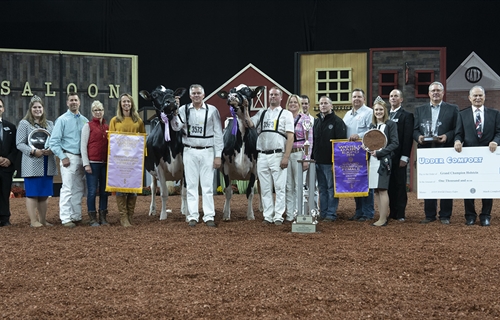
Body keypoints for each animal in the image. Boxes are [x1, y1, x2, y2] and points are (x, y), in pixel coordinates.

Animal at [139, 85, 188, 220]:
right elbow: (163, 193)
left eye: (172, 93)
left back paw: (183, 209)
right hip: (152, 173)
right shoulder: (158, 166)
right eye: (155, 95)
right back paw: (152, 210)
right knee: (153, 188)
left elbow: (184, 192)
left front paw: (188, 214)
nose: (170, 102)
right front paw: (163, 215)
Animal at [218, 84, 266, 221]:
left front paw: (250, 215)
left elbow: (250, 192)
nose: (232, 96)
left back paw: (262, 208)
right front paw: (226, 214)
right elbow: (228, 192)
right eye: (231, 91)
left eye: (248, 91)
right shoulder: (226, 167)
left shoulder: (255, 168)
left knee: (261, 188)